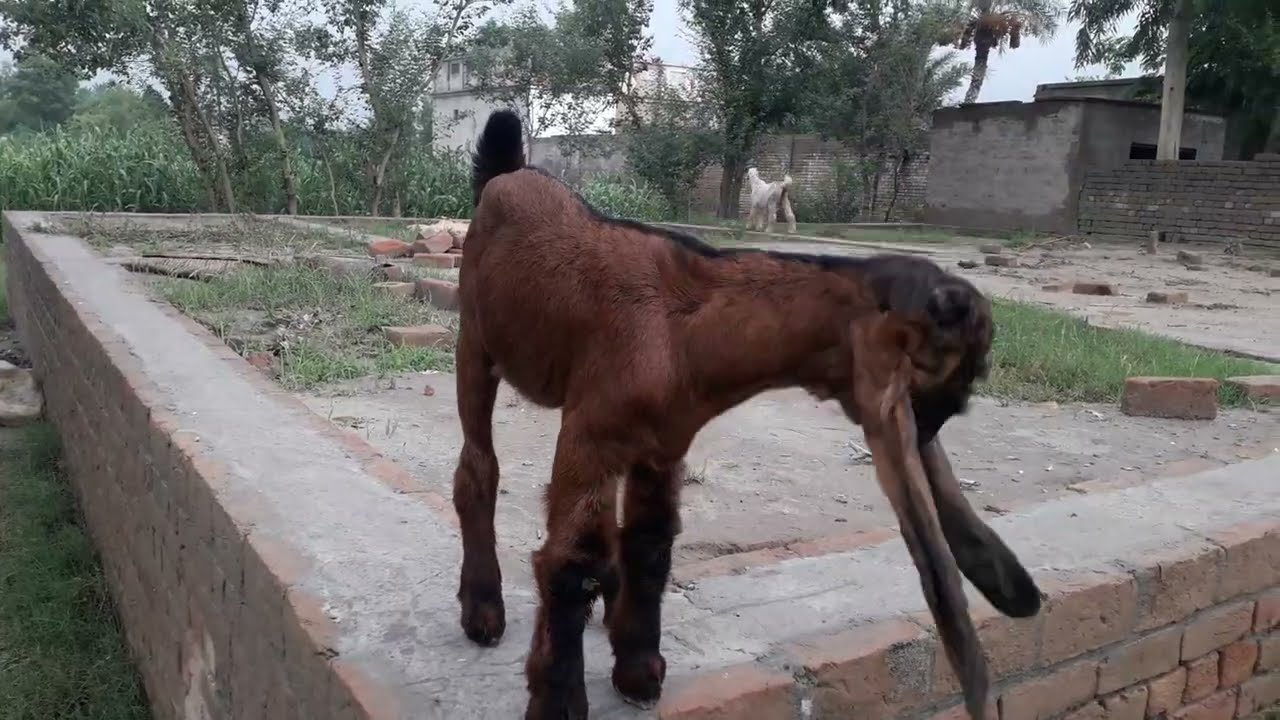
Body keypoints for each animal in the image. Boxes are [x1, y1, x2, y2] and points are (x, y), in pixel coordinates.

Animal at [451, 109, 1042, 720]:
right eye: (947, 382)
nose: (928, 430)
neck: (682, 332)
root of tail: (508, 172)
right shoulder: (590, 435)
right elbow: (572, 565)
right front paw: (560, 702)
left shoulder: (660, 444)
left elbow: (651, 543)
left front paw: (638, 668)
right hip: (474, 342)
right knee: (478, 468)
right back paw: (483, 609)